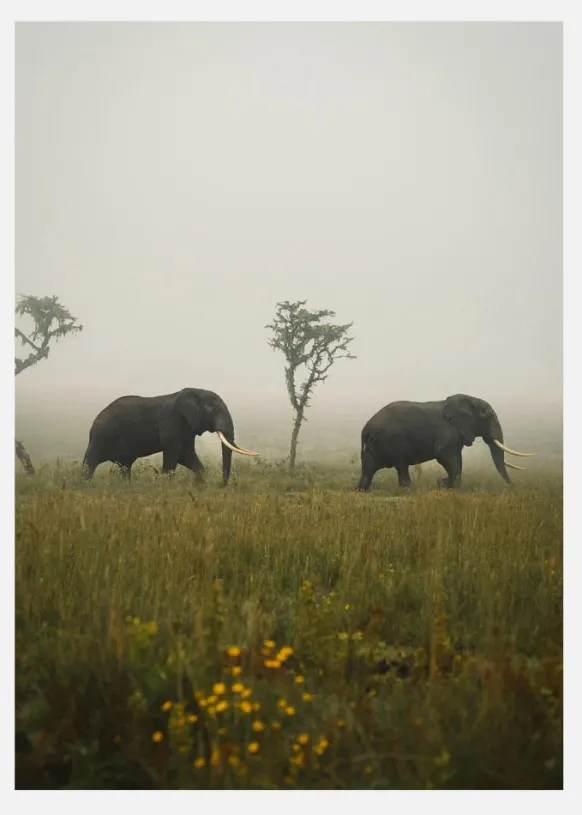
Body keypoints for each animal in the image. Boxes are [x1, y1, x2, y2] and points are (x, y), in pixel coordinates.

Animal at [82, 387, 258, 485]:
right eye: (212, 409)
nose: (220, 485)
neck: (194, 392)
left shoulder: (187, 427)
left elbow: (185, 455)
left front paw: (200, 486)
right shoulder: (171, 422)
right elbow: (174, 453)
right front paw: (167, 486)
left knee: (125, 466)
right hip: (102, 435)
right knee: (90, 462)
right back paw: (85, 485)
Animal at [356, 393, 533, 492]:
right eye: (489, 417)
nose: (514, 486)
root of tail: (365, 428)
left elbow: (456, 458)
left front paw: (443, 485)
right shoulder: (447, 430)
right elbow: (444, 455)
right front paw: (444, 485)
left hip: (374, 444)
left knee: (369, 467)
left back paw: (361, 490)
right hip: (393, 440)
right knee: (401, 464)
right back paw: (407, 490)